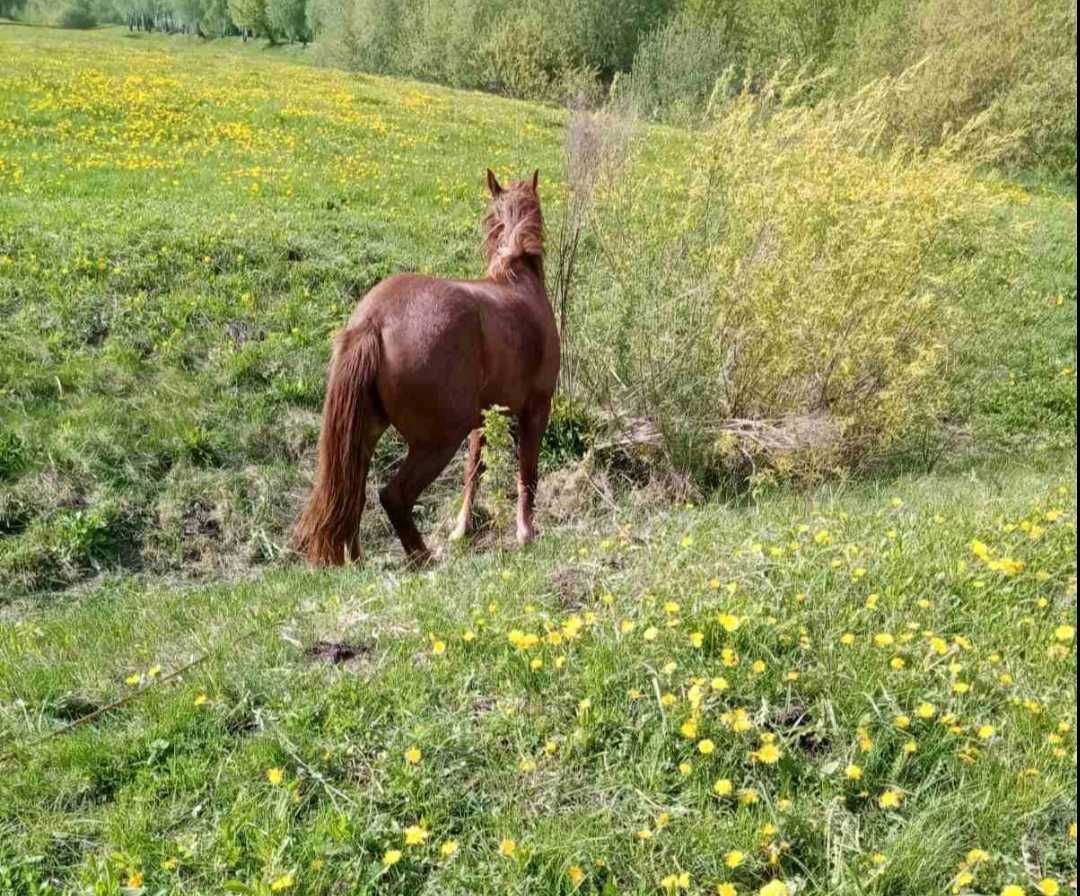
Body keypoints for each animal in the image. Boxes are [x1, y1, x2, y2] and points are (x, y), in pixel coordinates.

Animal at [295, 170, 561, 565]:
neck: (517, 280)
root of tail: (374, 320)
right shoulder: (536, 408)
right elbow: (527, 472)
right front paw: (526, 533)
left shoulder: (483, 419)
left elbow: (473, 471)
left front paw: (461, 529)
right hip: (437, 442)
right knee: (393, 496)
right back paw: (423, 557)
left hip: (367, 434)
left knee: (353, 492)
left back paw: (357, 560)